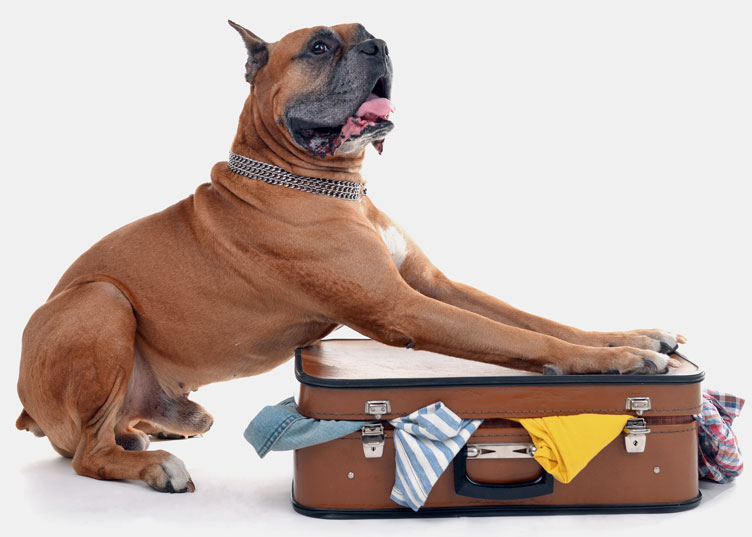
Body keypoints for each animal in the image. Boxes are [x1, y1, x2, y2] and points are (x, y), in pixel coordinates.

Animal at [14, 21, 684, 492]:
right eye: (318, 47)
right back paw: (156, 466)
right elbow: (524, 338)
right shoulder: (402, 307)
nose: (380, 47)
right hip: (100, 302)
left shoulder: (432, 285)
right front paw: (620, 362)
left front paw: (633, 338)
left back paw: (160, 428)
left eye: (370, 35)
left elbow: (536, 321)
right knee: (86, 454)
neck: (325, 183)